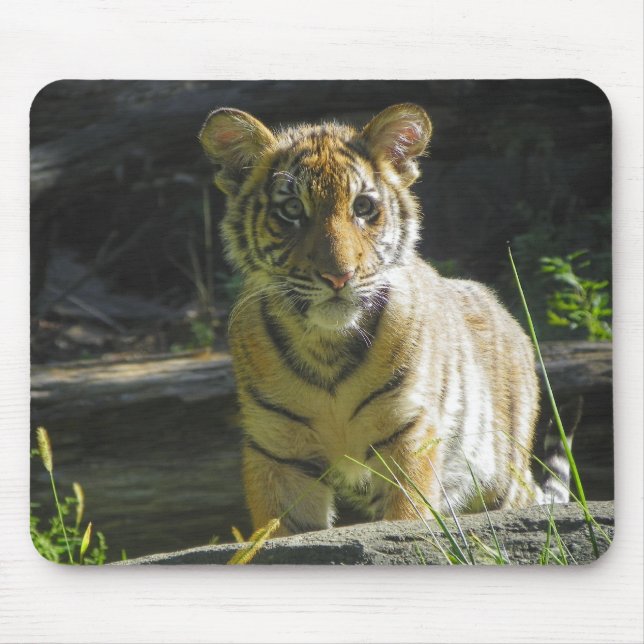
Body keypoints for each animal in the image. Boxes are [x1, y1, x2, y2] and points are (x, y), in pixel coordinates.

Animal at [198, 103, 574, 537]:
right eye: (292, 210)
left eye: (363, 207)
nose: (338, 276)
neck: (326, 344)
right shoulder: (278, 450)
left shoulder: (407, 432)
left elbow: (408, 516)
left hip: (500, 473)